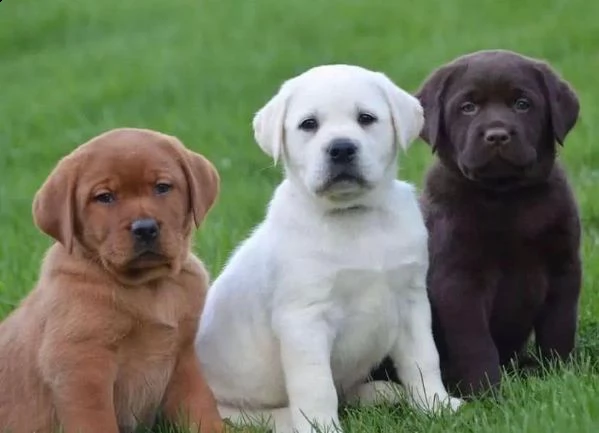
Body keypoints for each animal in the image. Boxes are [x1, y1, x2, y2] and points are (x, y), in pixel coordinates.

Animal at [0, 127, 225, 432]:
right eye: (104, 197)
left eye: (162, 187)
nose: (145, 228)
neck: (150, 288)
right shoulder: (81, 365)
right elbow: (97, 419)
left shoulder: (185, 356)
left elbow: (201, 406)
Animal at [195, 64, 462, 432]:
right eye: (309, 124)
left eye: (366, 118)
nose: (341, 149)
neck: (353, 217)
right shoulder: (304, 319)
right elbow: (316, 385)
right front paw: (322, 427)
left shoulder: (411, 300)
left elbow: (424, 359)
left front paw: (436, 405)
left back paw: (381, 392)